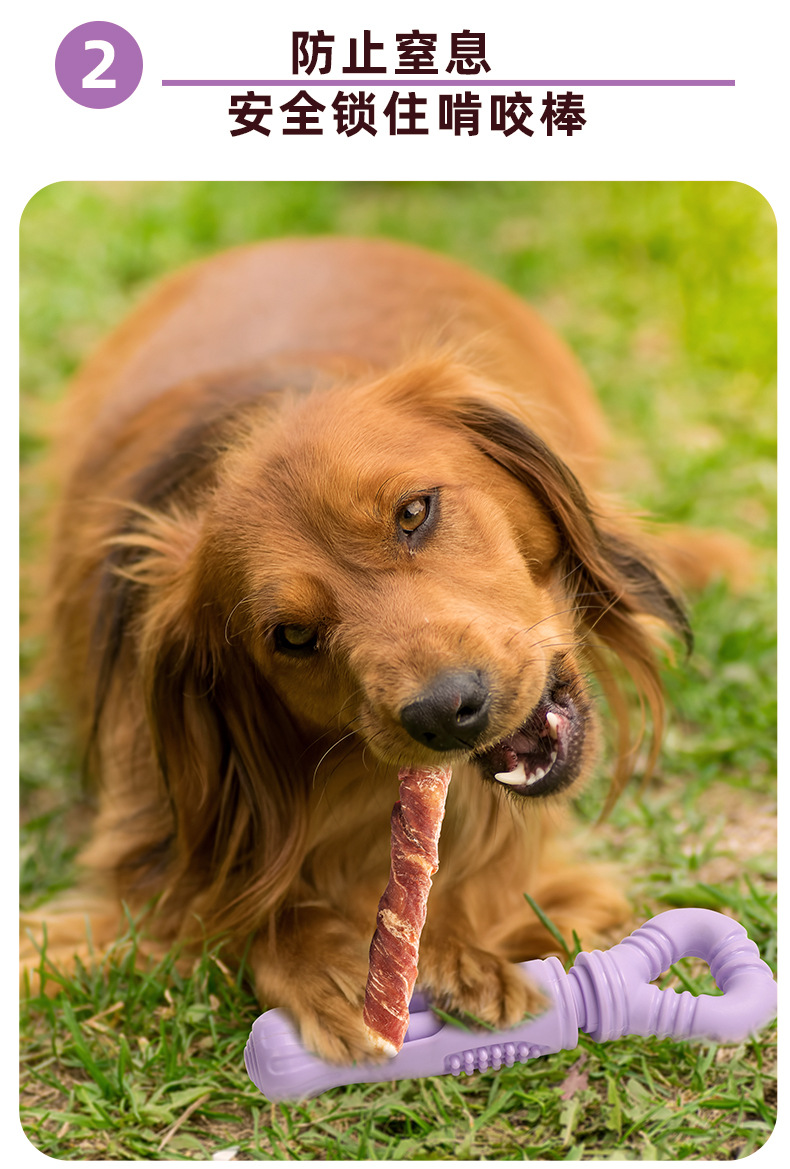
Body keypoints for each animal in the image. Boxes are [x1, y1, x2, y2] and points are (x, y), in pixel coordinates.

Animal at [25, 236, 708, 1062]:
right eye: (292, 636)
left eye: (414, 511)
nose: (446, 711)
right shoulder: (143, 846)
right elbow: (236, 904)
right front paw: (333, 970)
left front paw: (456, 950)